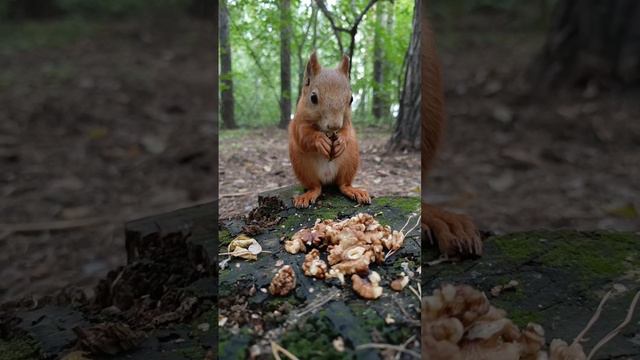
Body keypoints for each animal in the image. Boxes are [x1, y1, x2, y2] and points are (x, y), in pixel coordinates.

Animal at [288, 51, 372, 208]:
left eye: (351, 99)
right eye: (313, 97)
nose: (334, 126)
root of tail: (327, 179)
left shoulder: (347, 122)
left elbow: (347, 130)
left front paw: (342, 140)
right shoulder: (298, 121)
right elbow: (304, 135)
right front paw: (320, 140)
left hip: (349, 161)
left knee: (343, 184)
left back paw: (354, 191)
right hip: (302, 166)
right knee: (315, 187)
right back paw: (307, 195)